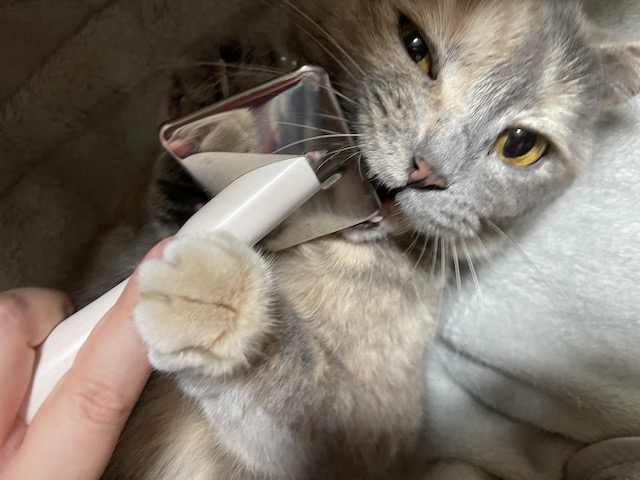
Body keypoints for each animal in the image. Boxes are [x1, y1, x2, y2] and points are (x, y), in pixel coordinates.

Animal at [91, 0, 640, 478]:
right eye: (415, 45)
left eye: (521, 146)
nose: (428, 170)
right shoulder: (103, 261)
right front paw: (219, 90)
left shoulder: (368, 438)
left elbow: (302, 396)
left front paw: (219, 300)